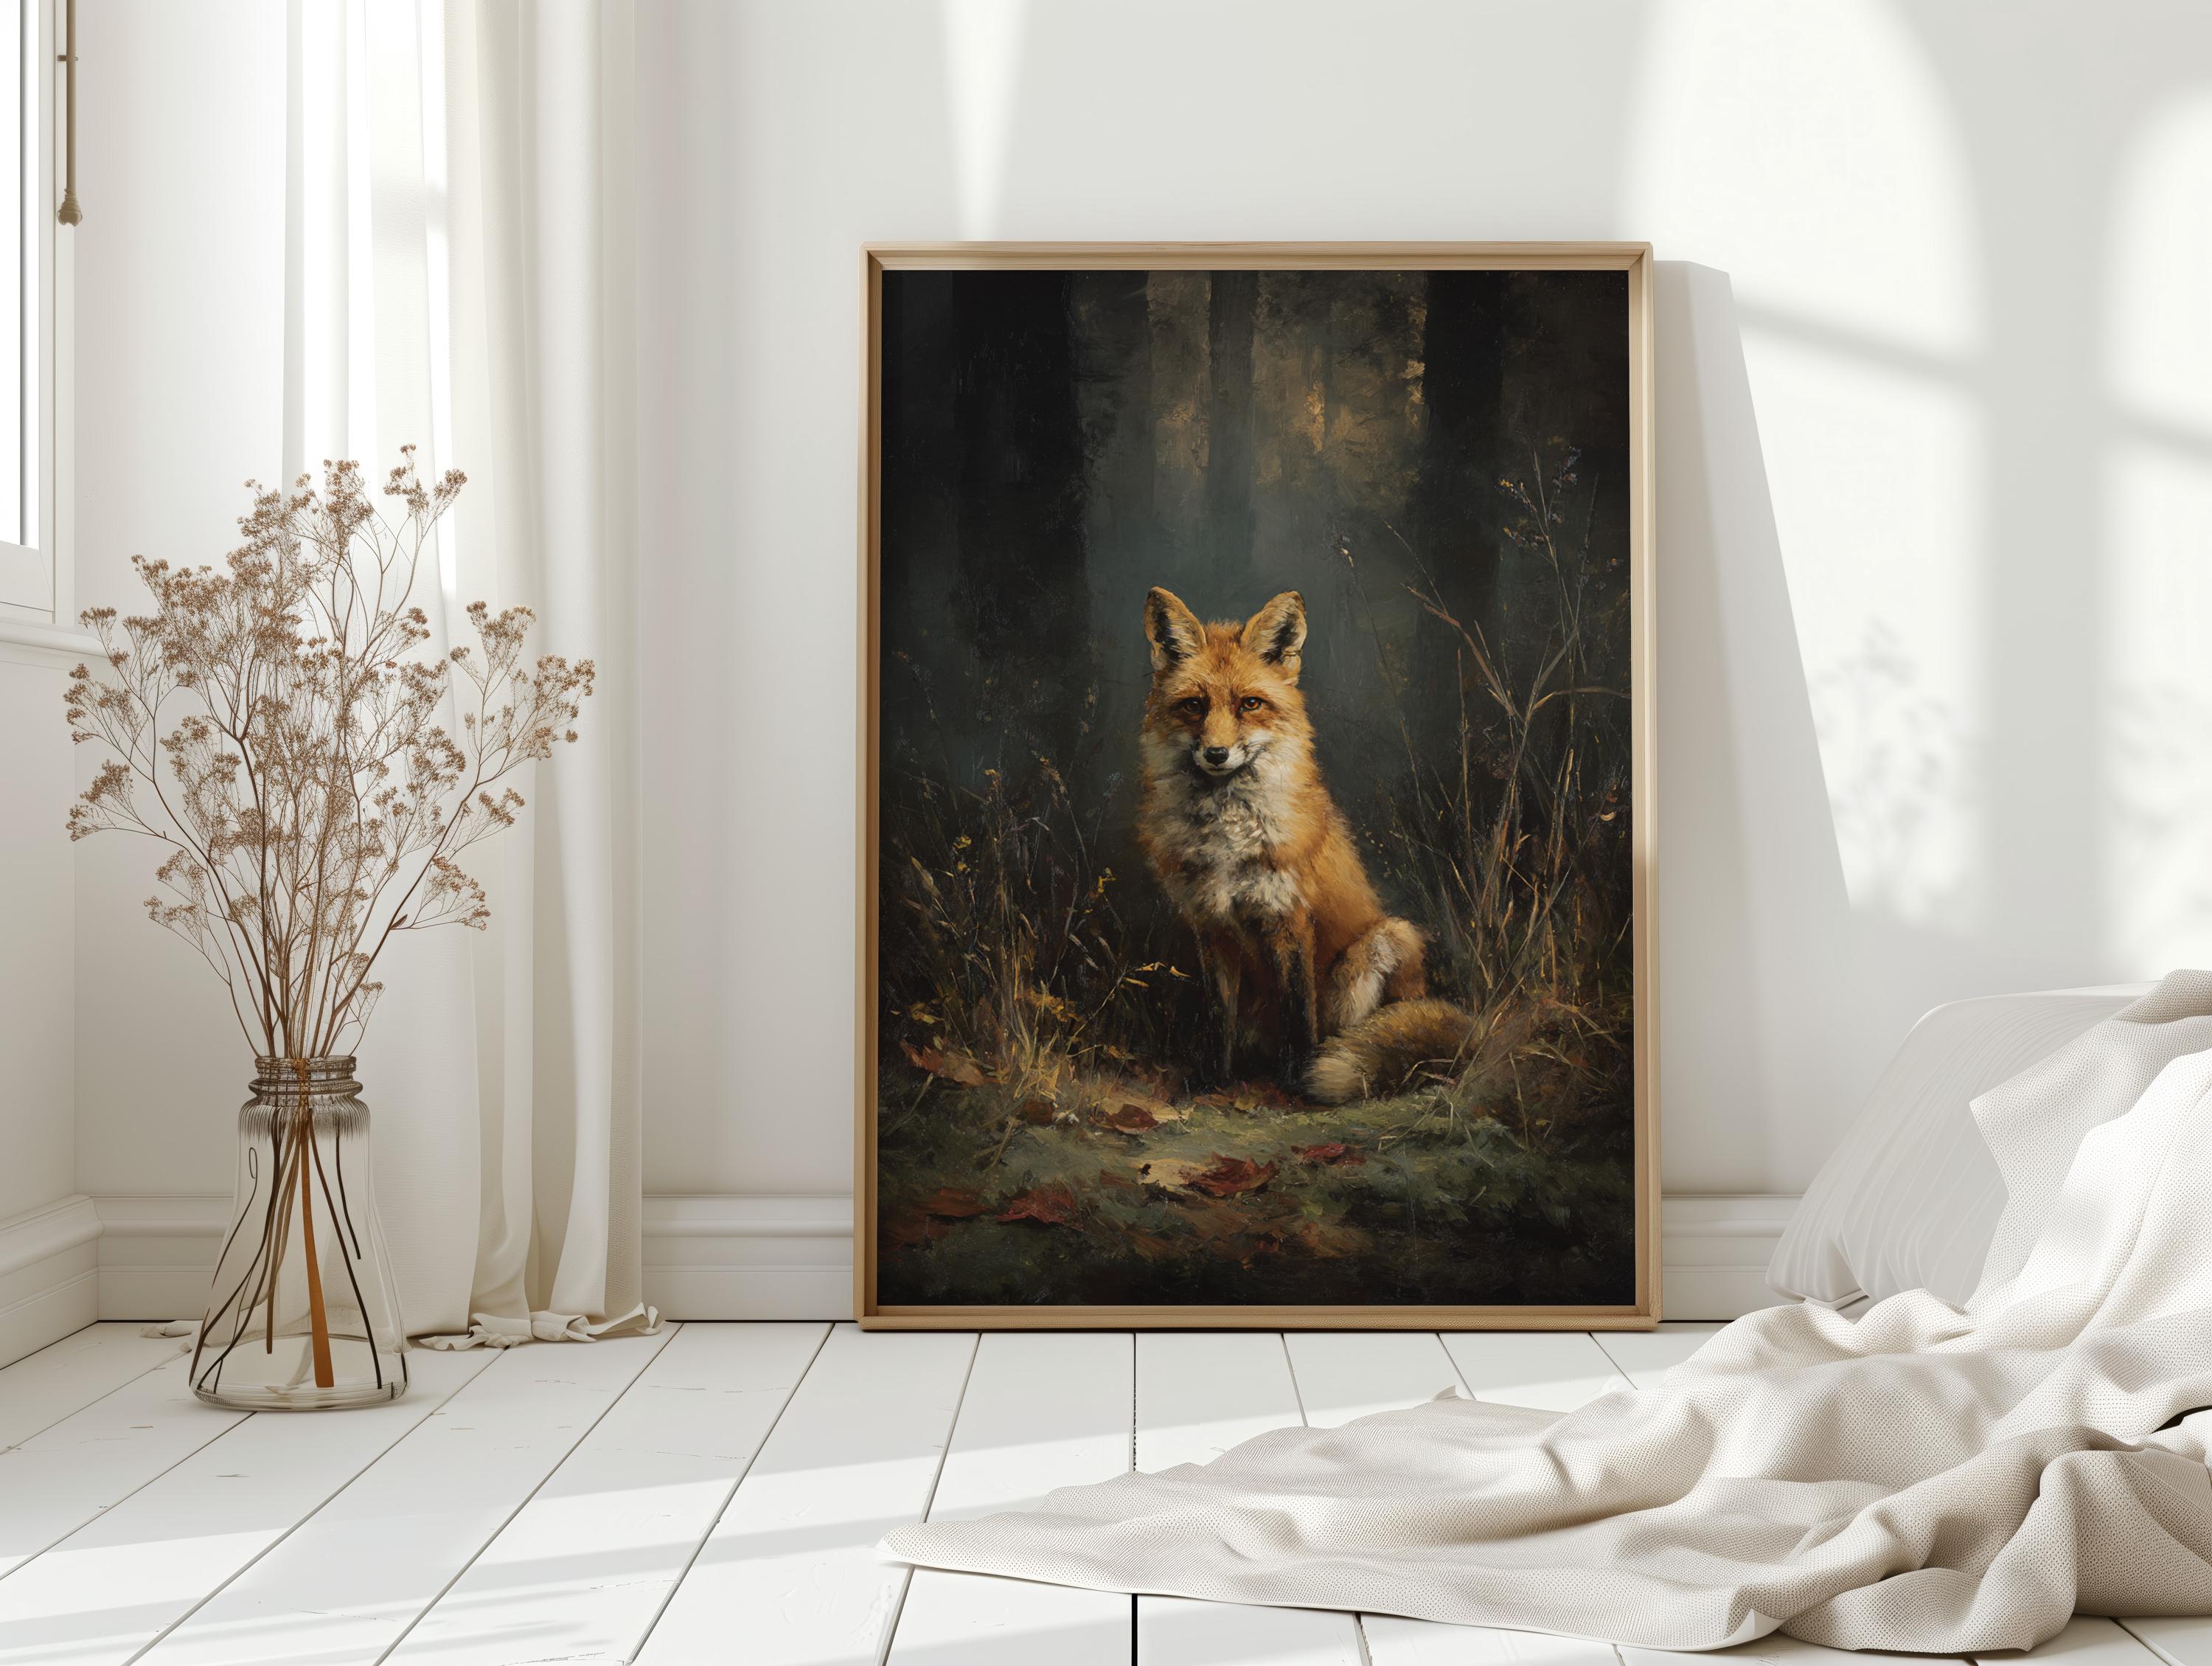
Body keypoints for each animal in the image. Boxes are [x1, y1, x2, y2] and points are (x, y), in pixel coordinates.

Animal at [1134, 585, 1478, 1104]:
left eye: (1250, 704)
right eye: (1194, 705)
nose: (1217, 753)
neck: (1229, 840)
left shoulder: (1289, 918)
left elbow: (1299, 1015)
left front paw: (1297, 1083)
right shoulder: (1211, 927)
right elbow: (1217, 1021)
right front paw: (1210, 1081)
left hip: (1385, 941)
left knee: (1353, 1031)